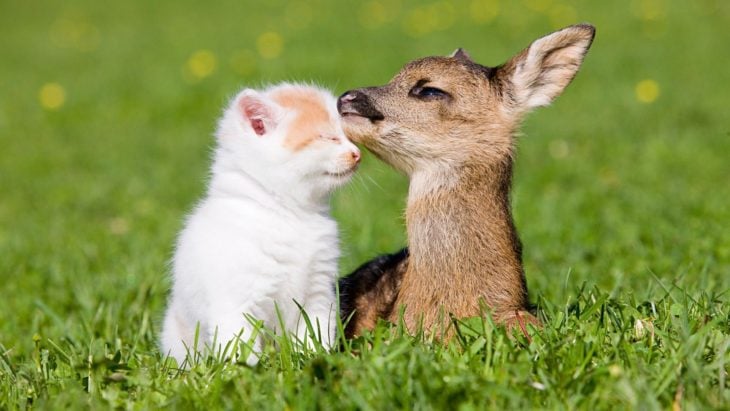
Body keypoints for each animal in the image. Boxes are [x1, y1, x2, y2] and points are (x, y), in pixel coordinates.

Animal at [162, 82, 362, 366]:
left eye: (348, 136)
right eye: (329, 137)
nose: (357, 154)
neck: (290, 214)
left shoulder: (318, 294)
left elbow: (314, 335)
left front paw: (314, 360)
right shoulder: (237, 302)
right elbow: (239, 348)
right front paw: (245, 372)